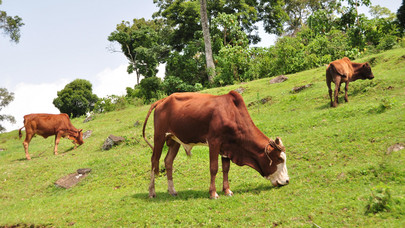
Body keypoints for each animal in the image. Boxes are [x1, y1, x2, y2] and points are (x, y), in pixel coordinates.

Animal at [142, 90, 288, 199]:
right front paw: (213, 193)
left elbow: (226, 168)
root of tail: (162, 100)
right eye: (279, 158)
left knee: (168, 161)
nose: (287, 181)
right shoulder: (214, 142)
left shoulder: (227, 147)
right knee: (154, 161)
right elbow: (214, 168)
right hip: (159, 137)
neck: (231, 114)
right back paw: (151, 192)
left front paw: (227, 190)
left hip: (174, 140)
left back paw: (172, 190)